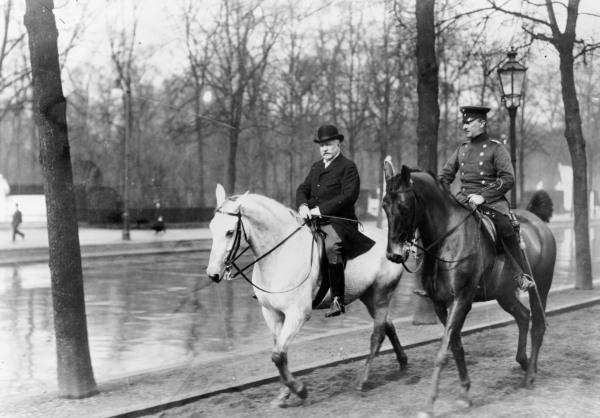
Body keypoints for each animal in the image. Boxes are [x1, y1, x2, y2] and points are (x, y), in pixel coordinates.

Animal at [206, 185, 408, 406]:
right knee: (388, 325)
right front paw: (283, 394)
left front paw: (299, 390)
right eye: (211, 228)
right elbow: (280, 353)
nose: (212, 274)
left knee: (378, 335)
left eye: (229, 232)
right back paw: (403, 364)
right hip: (369, 296)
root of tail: (392, 245)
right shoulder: (272, 314)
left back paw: (363, 380)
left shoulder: (298, 314)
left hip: (381, 294)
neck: (281, 255)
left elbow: (277, 355)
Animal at [382, 163, 556, 418]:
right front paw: (465, 393)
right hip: (504, 294)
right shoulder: (440, 305)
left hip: (540, 287)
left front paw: (430, 404)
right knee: (523, 316)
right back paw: (523, 362)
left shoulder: (461, 301)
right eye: (384, 205)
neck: (448, 240)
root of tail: (538, 221)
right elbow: (455, 346)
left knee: (538, 326)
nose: (393, 254)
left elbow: (443, 351)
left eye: (403, 206)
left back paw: (530, 375)